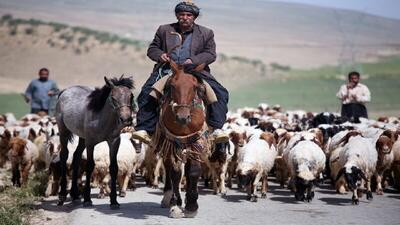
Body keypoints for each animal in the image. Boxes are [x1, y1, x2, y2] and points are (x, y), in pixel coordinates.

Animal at [54, 76, 134, 209]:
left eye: (131, 96)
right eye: (113, 97)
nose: (126, 119)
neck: (101, 118)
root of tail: (65, 91)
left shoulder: (114, 142)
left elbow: (114, 168)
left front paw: (114, 201)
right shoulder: (90, 143)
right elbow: (90, 166)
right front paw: (87, 199)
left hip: (82, 138)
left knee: (76, 156)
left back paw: (75, 195)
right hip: (64, 131)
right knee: (64, 155)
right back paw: (62, 195)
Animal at [152, 60, 208, 218]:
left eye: (195, 87)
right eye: (172, 86)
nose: (182, 117)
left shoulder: (195, 143)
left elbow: (194, 171)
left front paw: (191, 206)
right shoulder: (173, 143)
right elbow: (175, 174)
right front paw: (176, 205)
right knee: (168, 168)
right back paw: (168, 198)